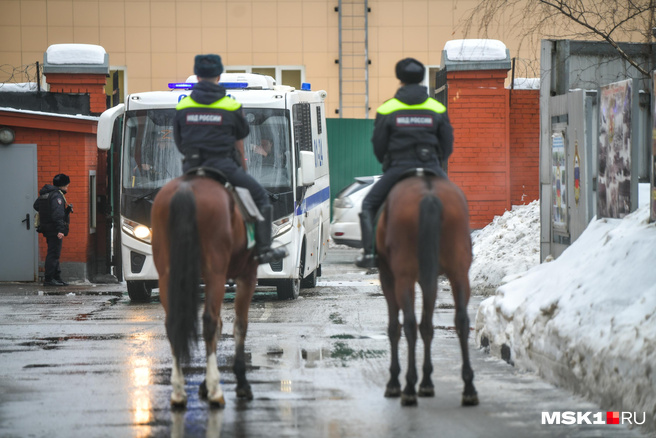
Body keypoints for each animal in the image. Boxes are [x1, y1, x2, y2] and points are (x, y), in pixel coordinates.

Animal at [151, 174, 258, 408]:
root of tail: (186, 188)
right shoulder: (247, 274)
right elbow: (239, 325)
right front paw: (240, 382)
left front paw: (204, 384)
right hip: (215, 271)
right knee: (209, 320)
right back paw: (216, 391)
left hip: (167, 273)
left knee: (173, 324)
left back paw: (179, 391)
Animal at [376, 172, 480, 408]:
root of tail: (429, 195)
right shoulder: (428, 277)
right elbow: (427, 326)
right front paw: (426, 382)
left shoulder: (388, 277)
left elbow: (395, 327)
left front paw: (395, 382)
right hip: (458, 272)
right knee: (461, 320)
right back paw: (469, 387)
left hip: (404, 277)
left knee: (409, 324)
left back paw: (408, 388)